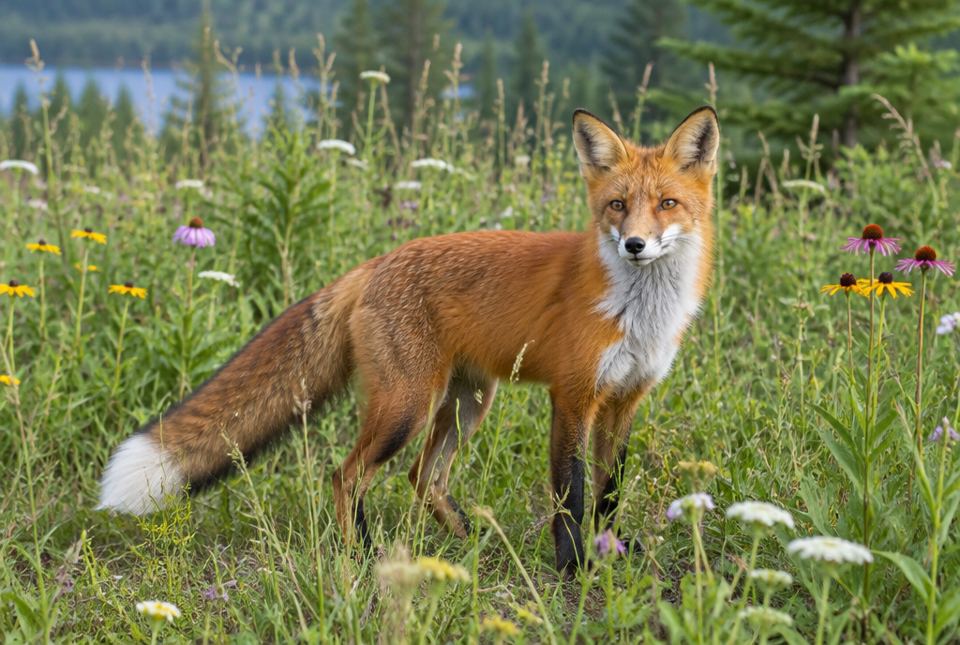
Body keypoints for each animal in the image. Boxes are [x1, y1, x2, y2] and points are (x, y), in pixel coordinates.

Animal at [98, 106, 719, 573]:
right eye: (617, 205)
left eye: (667, 204)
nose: (635, 244)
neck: (640, 312)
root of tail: (375, 263)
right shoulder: (572, 397)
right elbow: (570, 494)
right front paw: (573, 567)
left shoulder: (624, 401)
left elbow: (609, 492)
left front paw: (611, 552)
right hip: (408, 405)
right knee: (346, 476)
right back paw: (365, 555)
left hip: (467, 403)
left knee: (424, 476)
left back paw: (467, 543)